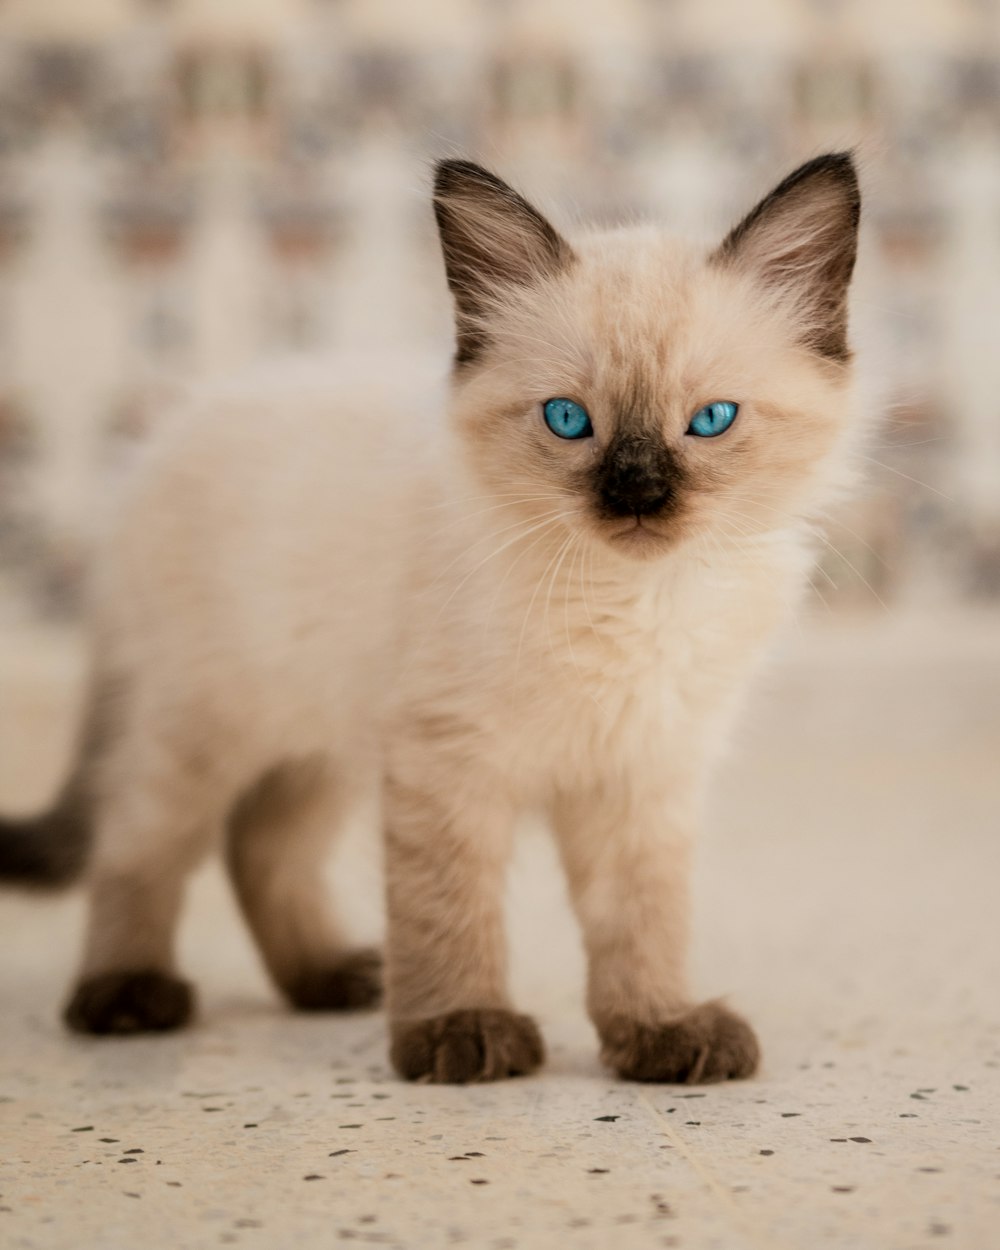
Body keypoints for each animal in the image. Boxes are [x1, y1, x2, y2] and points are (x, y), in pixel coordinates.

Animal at [0, 151, 860, 1080]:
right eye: (569, 420)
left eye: (711, 420)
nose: (637, 494)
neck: (631, 599)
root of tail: (156, 448)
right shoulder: (448, 759)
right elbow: (449, 906)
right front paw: (461, 1031)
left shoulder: (638, 771)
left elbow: (640, 920)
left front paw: (659, 1031)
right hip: (206, 724)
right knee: (137, 843)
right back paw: (127, 996)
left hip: (325, 740)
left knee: (262, 845)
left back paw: (328, 976)